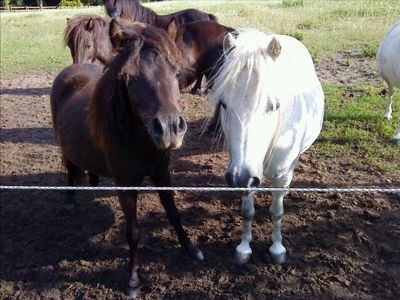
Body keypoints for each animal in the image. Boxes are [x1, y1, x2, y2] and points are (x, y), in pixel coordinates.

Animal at [51, 19, 203, 298]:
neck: (139, 140)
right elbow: (133, 232)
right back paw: (69, 199)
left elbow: (173, 213)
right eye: (128, 78)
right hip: (65, 149)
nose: (170, 129)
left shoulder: (161, 173)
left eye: (177, 73)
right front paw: (132, 280)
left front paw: (190, 248)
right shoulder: (126, 185)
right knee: (71, 168)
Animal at [211, 29, 324, 264]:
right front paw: (244, 248)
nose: (239, 177)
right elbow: (247, 211)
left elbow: (277, 212)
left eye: (274, 106)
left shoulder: (278, 176)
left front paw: (277, 249)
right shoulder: (246, 174)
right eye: (223, 104)